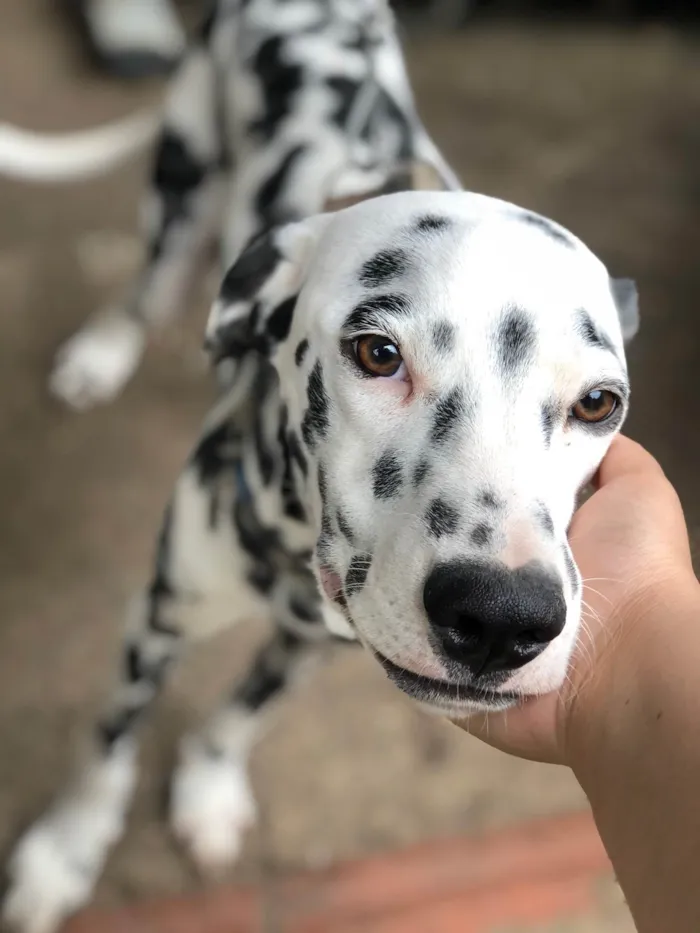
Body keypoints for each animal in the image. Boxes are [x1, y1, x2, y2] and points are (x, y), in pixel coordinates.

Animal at [1, 1, 640, 932]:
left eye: (599, 402)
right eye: (376, 352)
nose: (503, 618)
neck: (283, 539)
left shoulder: (316, 641)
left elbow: (243, 715)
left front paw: (208, 787)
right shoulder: (156, 617)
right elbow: (107, 749)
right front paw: (62, 855)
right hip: (182, 175)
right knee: (151, 281)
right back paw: (104, 349)